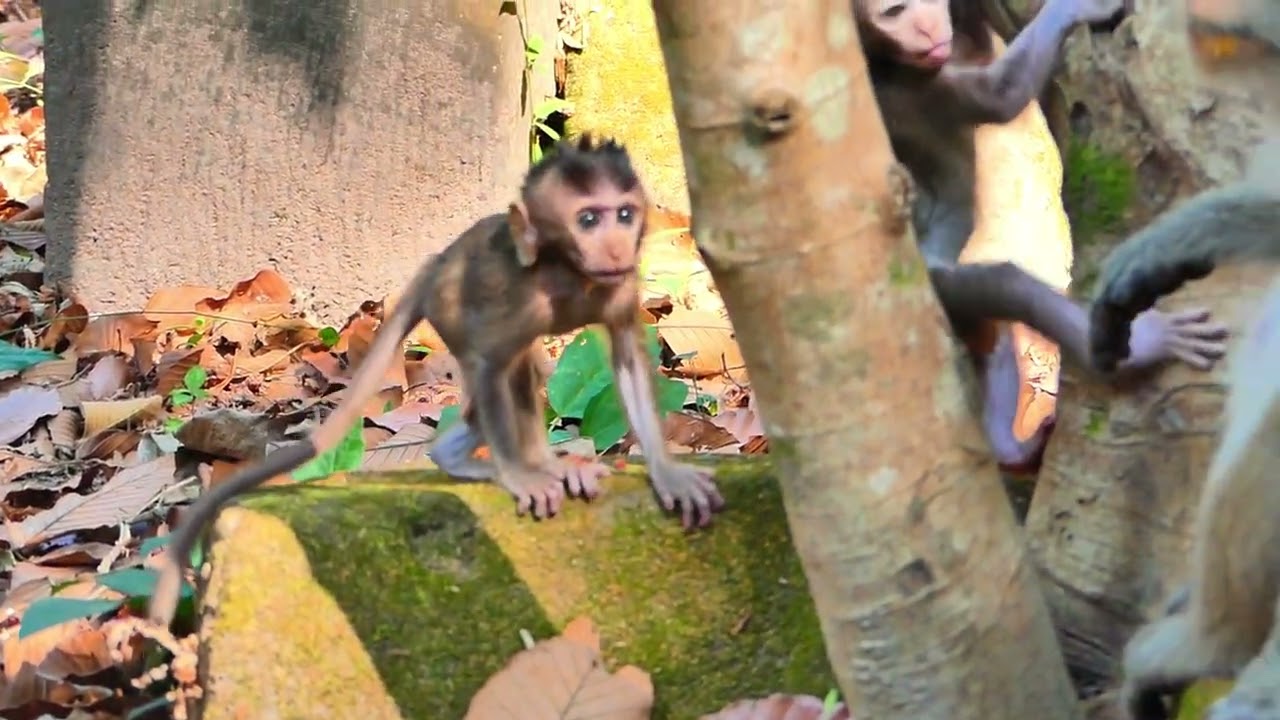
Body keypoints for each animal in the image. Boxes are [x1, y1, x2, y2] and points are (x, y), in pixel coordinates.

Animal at [146, 135, 726, 628]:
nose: (617, 246)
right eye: (588, 219)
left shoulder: (620, 287)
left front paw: (667, 473)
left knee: (525, 371)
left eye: (624, 213)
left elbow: (626, 356)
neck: (570, 273)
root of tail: (435, 263)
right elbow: (494, 366)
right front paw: (523, 475)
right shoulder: (522, 299)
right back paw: (513, 463)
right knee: (511, 370)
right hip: (451, 313)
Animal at [853, 0, 1230, 473]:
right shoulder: (915, 90)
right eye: (894, 12)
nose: (928, 27)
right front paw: (1075, 9)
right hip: (938, 284)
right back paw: (1138, 346)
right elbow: (1001, 95)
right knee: (1004, 287)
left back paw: (1007, 438)